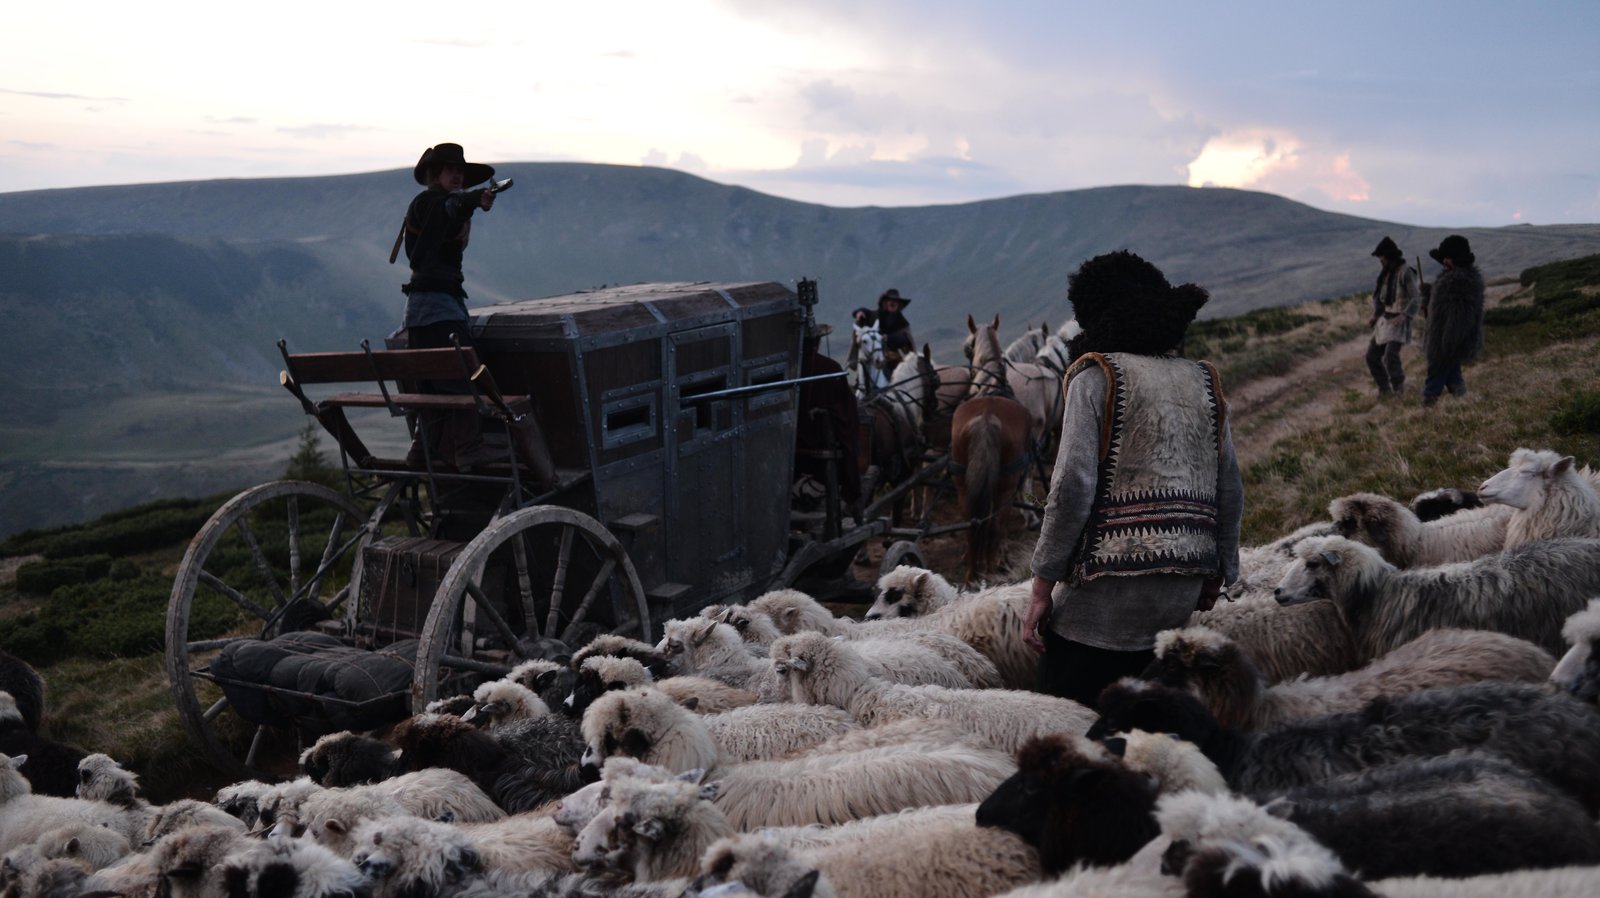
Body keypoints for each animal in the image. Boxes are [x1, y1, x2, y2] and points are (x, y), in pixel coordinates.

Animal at [947, 313, 1036, 582]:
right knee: (994, 525)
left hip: (963, 482)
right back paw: (990, 570)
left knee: (973, 523)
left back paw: (973, 574)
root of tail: (987, 418)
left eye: (967, 348)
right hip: (1005, 485)